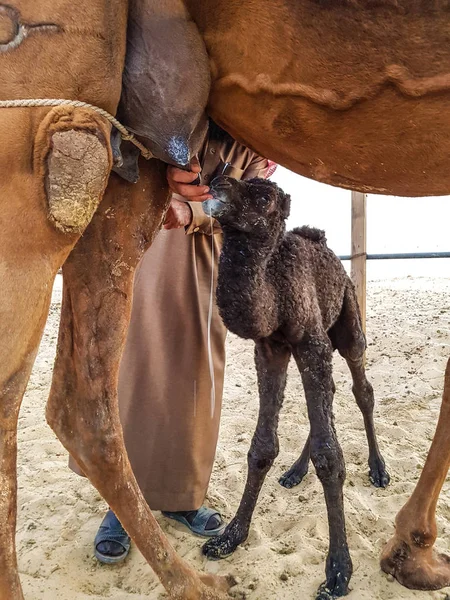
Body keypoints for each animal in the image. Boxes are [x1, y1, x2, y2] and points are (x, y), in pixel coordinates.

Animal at [202, 178, 388, 600]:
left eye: (264, 197)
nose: (218, 182)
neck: (273, 291)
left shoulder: (309, 342)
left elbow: (330, 456)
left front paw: (338, 571)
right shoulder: (270, 348)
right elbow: (261, 447)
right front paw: (230, 536)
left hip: (347, 322)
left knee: (362, 391)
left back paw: (379, 469)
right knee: (329, 395)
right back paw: (294, 472)